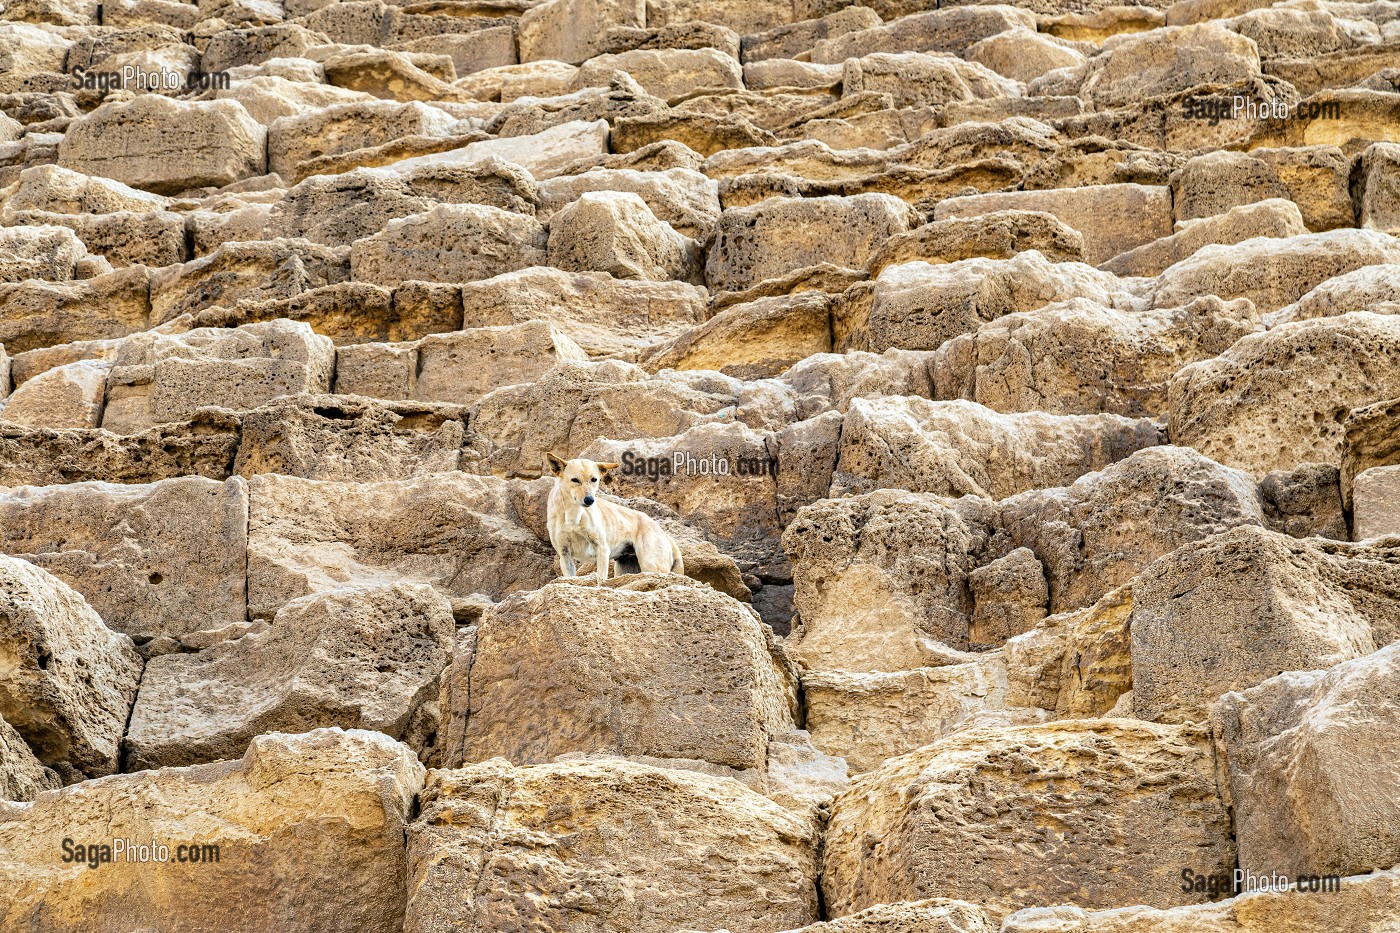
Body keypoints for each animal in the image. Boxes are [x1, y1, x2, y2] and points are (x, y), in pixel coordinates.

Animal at [546, 451, 683, 582]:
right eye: (574, 480)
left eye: (594, 479)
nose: (589, 500)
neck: (573, 514)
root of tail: (664, 534)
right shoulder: (564, 554)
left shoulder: (601, 548)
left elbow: (601, 580)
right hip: (627, 569)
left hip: (651, 565)